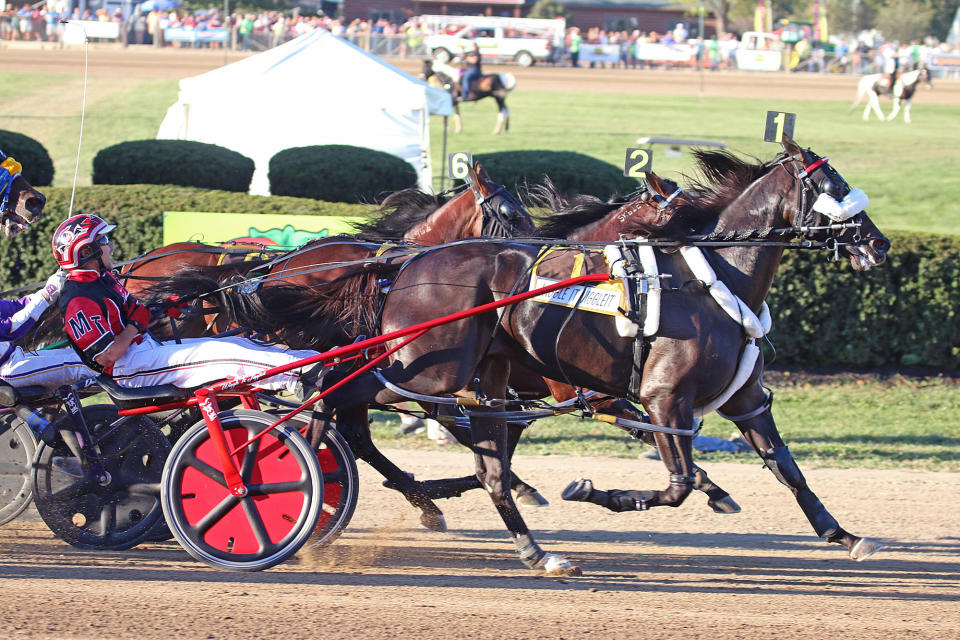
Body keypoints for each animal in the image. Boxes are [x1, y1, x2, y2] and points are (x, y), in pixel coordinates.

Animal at [310, 138, 892, 572]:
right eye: (835, 187)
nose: (879, 244)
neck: (709, 282)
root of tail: (406, 264)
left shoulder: (745, 399)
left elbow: (789, 471)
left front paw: (844, 535)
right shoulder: (658, 398)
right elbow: (678, 484)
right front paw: (597, 492)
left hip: (478, 378)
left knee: (480, 464)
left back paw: (533, 550)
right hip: (425, 369)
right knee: (340, 395)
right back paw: (316, 457)